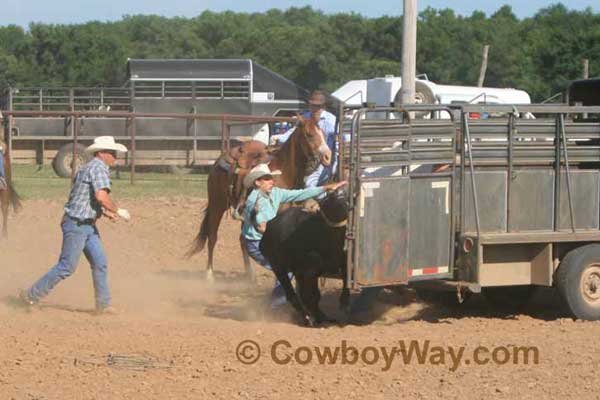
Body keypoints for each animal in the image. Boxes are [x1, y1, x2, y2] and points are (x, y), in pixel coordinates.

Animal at [186, 112, 330, 282]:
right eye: (309, 134)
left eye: (323, 133)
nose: (328, 156)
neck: (283, 173)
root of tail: (219, 160)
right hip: (217, 205)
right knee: (212, 236)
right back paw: (209, 274)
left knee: (242, 240)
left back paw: (250, 274)